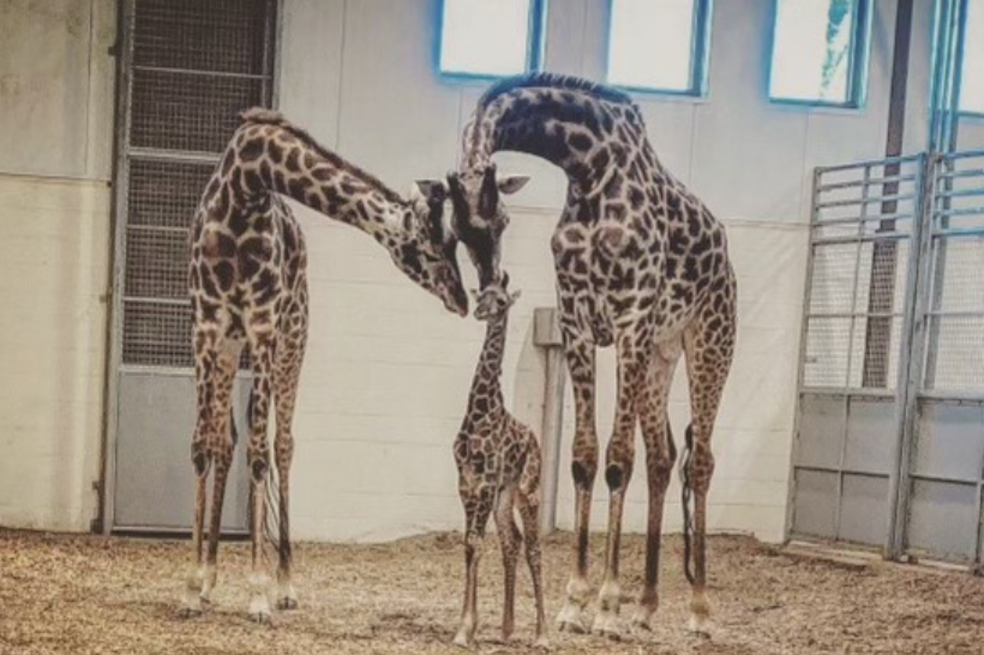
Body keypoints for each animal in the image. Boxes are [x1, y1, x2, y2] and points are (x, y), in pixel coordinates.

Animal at [181, 108, 468, 623]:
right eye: (433, 246)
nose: (463, 299)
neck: (246, 182)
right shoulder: (207, 326)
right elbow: (202, 444)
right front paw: (193, 588)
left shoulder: (264, 326)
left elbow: (261, 453)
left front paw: (258, 594)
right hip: (233, 346)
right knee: (224, 439)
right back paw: (212, 578)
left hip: (294, 336)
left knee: (283, 444)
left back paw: (284, 585)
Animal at [452, 272, 547, 649]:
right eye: (483, 295)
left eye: (502, 301)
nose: (480, 311)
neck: (479, 412)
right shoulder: (466, 483)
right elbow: (471, 544)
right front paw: (467, 627)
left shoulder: (486, 482)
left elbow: (477, 544)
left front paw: (465, 630)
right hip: (505, 496)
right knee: (512, 541)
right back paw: (507, 629)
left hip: (527, 490)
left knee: (534, 548)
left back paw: (542, 635)